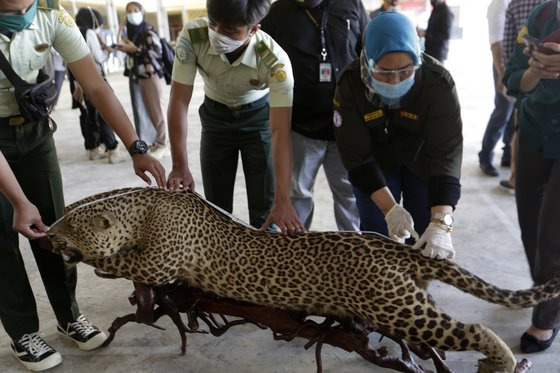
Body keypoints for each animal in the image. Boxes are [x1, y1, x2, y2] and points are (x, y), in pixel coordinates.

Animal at [47, 187, 560, 370]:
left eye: (67, 226)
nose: (45, 234)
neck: (143, 208)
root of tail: (395, 247)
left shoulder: (160, 263)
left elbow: (127, 264)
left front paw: (96, 261)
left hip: (398, 308)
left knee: (470, 328)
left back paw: (500, 359)